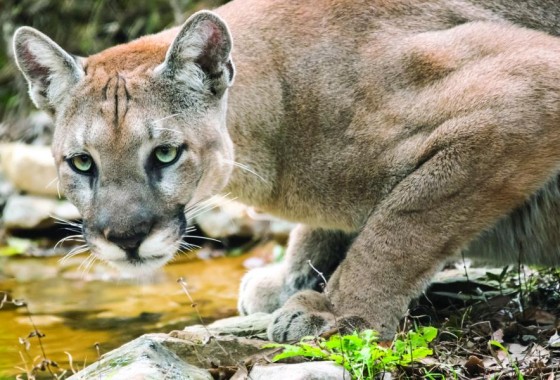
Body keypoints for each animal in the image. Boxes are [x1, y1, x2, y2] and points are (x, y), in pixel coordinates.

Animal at [13, 0, 560, 342]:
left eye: (165, 154)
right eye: (82, 163)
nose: (126, 239)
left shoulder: (522, 88)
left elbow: (403, 224)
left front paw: (339, 311)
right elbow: (342, 224)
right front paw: (291, 280)